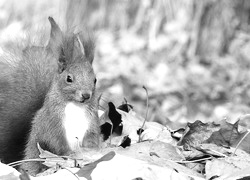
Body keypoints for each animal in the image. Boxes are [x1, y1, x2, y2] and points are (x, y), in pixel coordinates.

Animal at [0, 16, 99, 174]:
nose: (86, 95)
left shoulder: (92, 121)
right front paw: (70, 153)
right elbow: (56, 141)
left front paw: (90, 149)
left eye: (95, 80)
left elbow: (93, 137)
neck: (75, 106)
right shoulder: (51, 122)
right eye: (69, 78)